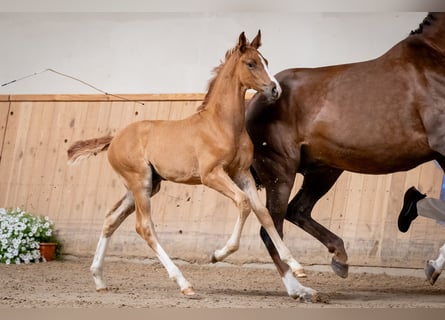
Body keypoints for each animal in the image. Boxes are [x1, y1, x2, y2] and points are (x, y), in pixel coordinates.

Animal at [67, 30, 316, 300]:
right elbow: (243, 203)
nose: (275, 89)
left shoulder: (241, 174)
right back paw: (184, 283)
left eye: (266, 61)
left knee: (111, 219)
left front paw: (297, 266)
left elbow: (263, 213)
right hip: (140, 182)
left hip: (146, 185)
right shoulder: (212, 175)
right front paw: (218, 254)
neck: (222, 124)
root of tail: (114, 139)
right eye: (251, 63)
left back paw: (99, 279)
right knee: (144, 227)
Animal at [245, 11, 444, 282]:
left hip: (324, 169)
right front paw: (433, 266)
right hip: (280, 172)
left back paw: (340, 257)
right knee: (272, 231)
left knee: (298, 210)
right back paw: (299, 284)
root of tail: (256, 98)